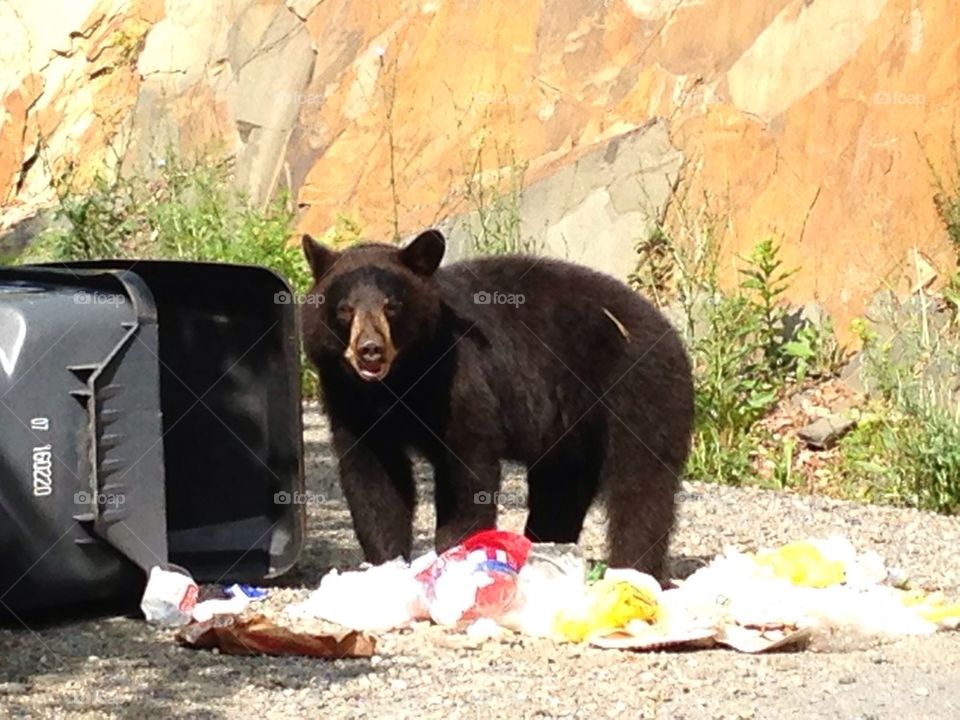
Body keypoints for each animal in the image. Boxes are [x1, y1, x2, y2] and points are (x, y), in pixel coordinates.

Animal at [301, 229, 694, 579]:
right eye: (345, 309)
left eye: (392, 306)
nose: (370, 349)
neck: (399, 382)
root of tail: (669, 332)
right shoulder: (349, 400)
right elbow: (374, 478)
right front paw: (387, 563)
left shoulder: (457, 378)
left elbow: (467, 466)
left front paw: (455, 552)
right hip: (571, 431)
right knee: (561, 488)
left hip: (637, 391)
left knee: (640, 485)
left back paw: (635, 568)